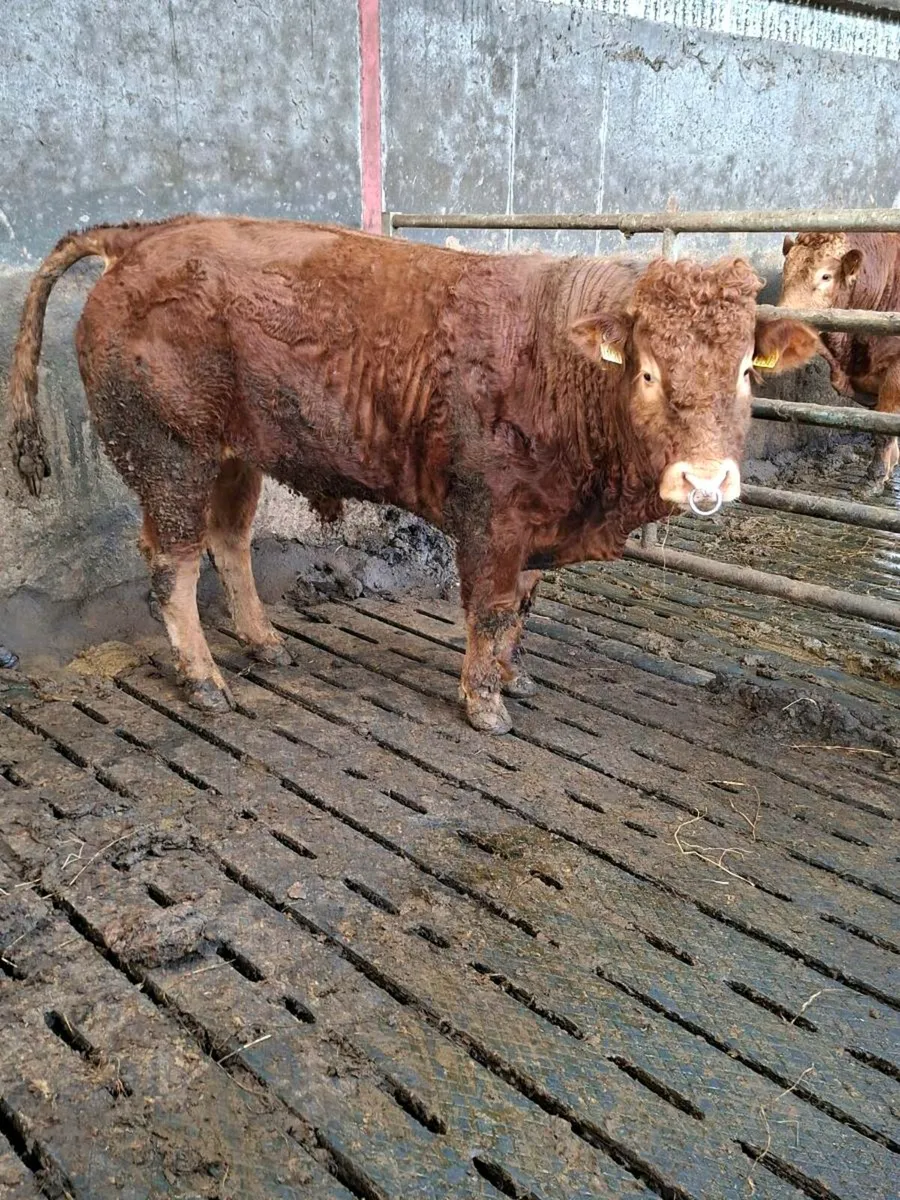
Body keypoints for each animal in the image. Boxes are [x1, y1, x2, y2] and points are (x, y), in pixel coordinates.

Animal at [7, 216, 819, 734]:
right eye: (648, 372)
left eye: (746, 371)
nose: (705, 481)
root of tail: (144, 237)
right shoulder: (493, 518)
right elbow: (491, 611)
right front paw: (485, 704)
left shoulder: (538, 521)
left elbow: (521, 609)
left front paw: (511, 675)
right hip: (171, 455)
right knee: (170, 566)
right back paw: (205, 680)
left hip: (236, 456)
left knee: (228, 541)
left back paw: (264, 642)